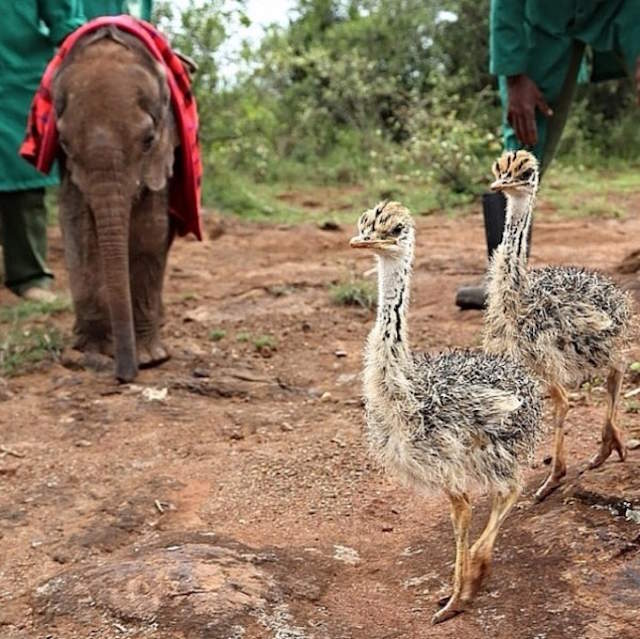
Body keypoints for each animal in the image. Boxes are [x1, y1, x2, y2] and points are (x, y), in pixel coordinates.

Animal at [52, 26, 180, 382]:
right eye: (64, 143)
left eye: (149, 140)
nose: (124, 376)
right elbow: (78, 228)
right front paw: (93, 353)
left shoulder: (162, 151)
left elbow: (151, 231)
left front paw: (150, 359)